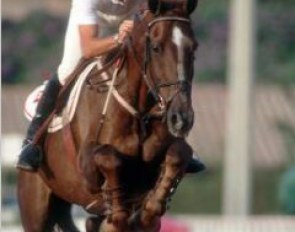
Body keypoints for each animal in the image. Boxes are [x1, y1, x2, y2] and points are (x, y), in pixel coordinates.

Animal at [17, 0, 200, 231]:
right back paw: (28, 152)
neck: (139, 112)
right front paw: (119, 217)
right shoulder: (86, 167)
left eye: (193, 48)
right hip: (35, 208)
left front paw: (149, 211)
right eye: (156, 48)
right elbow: (109, 157)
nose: (181, 118)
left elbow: (179, 153)